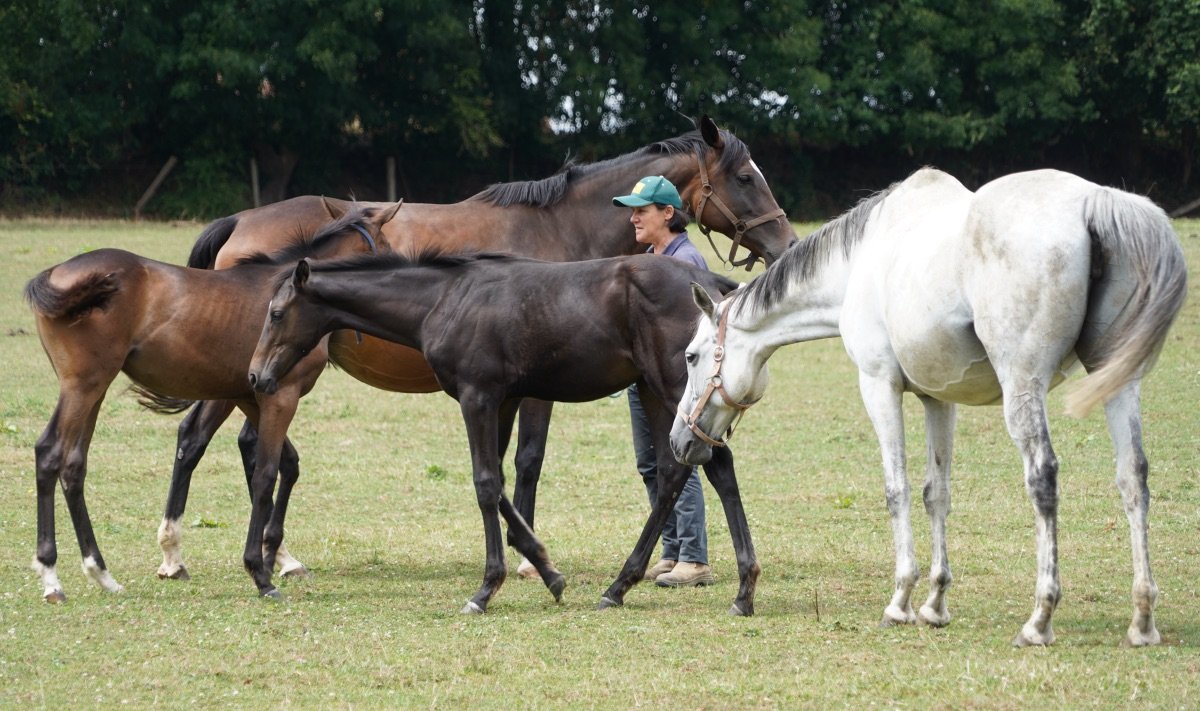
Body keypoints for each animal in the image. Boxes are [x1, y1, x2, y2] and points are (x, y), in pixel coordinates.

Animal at [22, 206, 558, 605]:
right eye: (385, 248)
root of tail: (57, 274)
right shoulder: (276, 394)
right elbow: (265, 471)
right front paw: (262, 573)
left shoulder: (253, 393)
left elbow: (284, 464)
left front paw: (273, 556)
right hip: (83, 385)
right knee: (51, 454)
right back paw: (52, 578)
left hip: (95, 389)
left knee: (75, 464)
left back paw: (103, 573)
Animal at [247, 251, 760, 615]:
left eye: (276, 313)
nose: (256, 377)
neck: (444, 299)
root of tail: (713, 287)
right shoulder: (505, 400)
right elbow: (500, 484)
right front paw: (548, 570)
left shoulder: (477, 397)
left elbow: (485, 483)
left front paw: (485, 589)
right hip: (655, 392)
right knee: (679, 470)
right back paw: (627, 586)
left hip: (676, 388)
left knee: (713, 465)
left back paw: (730, 587)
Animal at [669, 168, 1187, 646]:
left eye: (691, 356)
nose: (679, 439)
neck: (857, 265)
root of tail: (1092, 202)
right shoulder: (938, 398)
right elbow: (936, 493)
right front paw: (935, 604)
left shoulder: (878, 385)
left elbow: (895, 489)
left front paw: (899, 601)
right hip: (1118, 381)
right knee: (1133, 477)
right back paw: (1142, 621)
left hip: (1024, 386)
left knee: (1043, 478)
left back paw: (1039, 619)